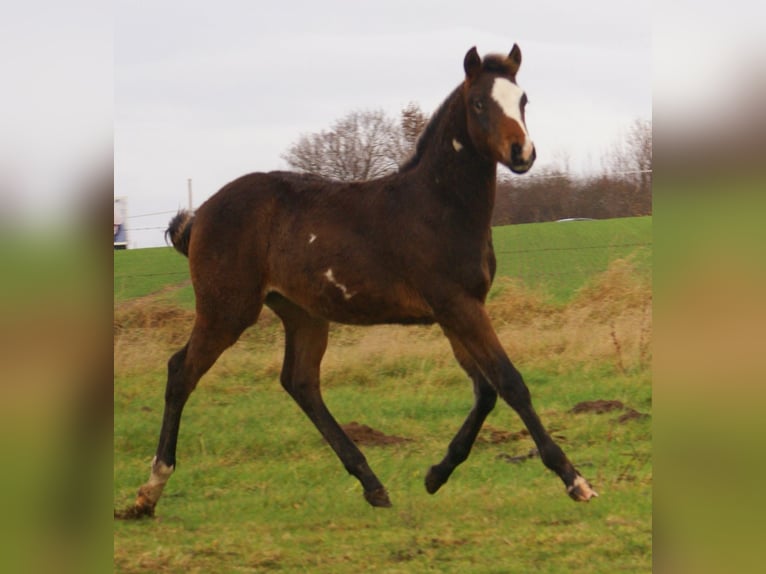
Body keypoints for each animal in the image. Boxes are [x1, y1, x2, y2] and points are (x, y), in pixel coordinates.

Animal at [128, 44, 597, 518]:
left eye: (523, 101)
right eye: (480, 103)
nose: (522, 152)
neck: (438, 206)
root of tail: (201, 213)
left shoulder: (457, 311)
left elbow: (485, 390)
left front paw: (436, 474)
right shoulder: (458, 306)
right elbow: (510, 383)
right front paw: (574, 479)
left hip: (302, 314)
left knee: (301, 383)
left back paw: (372, 483)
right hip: (227, 310)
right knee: (181, 372)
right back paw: (150, 489)